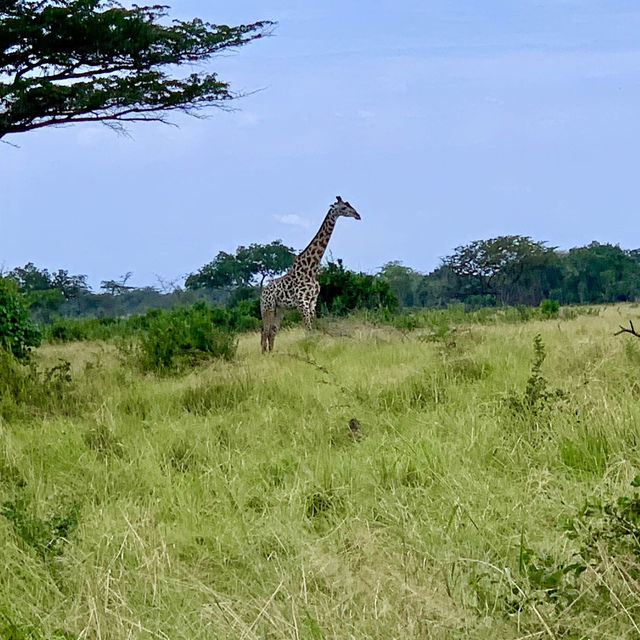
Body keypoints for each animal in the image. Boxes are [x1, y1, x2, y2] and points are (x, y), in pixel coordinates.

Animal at [260, 198, 360, 352]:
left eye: (349, 204)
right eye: (343, 208)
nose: (357, 215)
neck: (311, 269)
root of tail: (263, 291)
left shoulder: (312, 302)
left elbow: (311, 331)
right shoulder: (302, 302)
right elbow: (308, 331)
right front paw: (309, 351)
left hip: (280, 309)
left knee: (272, 331)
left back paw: (272, 353)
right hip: (267, 307)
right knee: (264, 331)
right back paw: (264, 354)